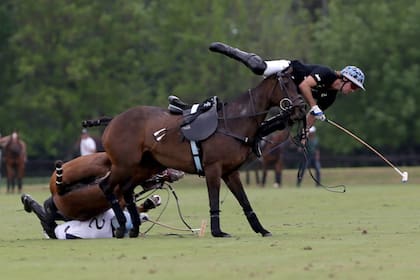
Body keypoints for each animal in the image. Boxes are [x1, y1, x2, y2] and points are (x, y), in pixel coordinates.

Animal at [97, 69, 306, 236]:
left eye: (296, 84)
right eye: (286, 85)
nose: (301, 108)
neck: (232, 121)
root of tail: (113, 120)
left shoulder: (231, 172)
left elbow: (244, 201)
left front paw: (261, 229)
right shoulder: (213, 169)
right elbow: (214, 200)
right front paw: (217, 231)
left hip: (145, 167)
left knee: (126, 190)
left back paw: (134, 229)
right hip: (123, 165)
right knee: (106, 186)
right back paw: (122, 225)